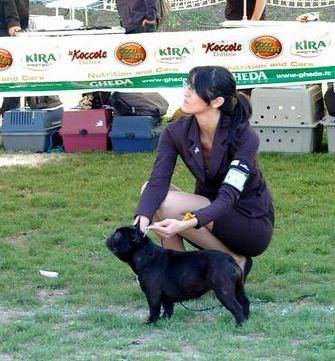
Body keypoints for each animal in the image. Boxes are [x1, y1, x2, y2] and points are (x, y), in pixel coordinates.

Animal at [106, 224, 251, 324]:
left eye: (117, 236)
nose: (108, 237)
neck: (145, 254)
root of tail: (230, 260)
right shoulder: (165, 297)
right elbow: (168, 309)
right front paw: (165, 321)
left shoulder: (153, 294)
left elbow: (154, 309)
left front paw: (151, 322)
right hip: (237, 289)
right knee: (245, 302)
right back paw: (246, 321)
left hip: (223, 291)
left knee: (237, 307)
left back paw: (239, 325)